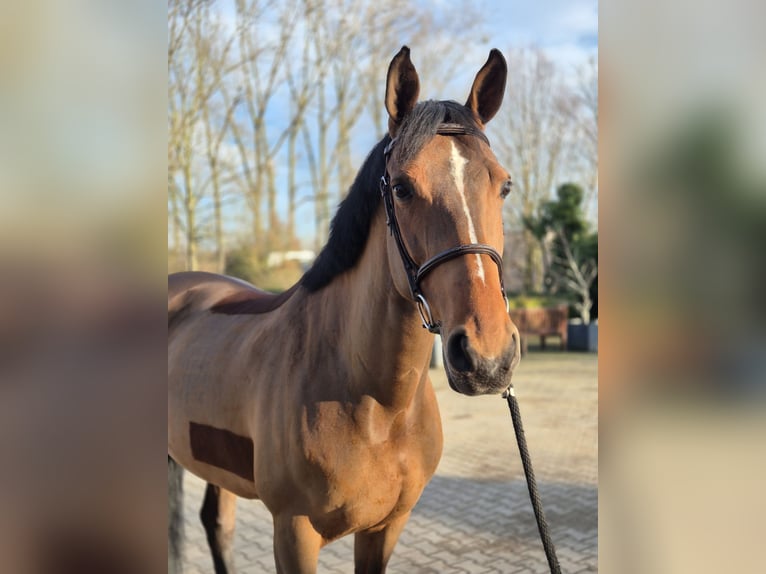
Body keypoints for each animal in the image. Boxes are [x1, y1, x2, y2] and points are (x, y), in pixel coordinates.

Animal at [168, 46, 520, 574]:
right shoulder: (293, 532)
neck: (374, 405)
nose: (487, 358)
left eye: (504, 186)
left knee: (217, 524)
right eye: (401, 188)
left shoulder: (385, 528)